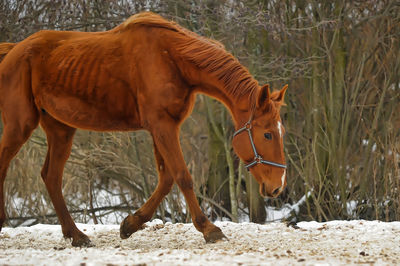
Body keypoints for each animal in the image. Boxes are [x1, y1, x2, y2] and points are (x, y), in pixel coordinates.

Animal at [0, 11, 288, 245]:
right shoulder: (162, 126)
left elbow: (166, 179)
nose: (277, 187)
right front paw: (209, 229)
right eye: (267, 134)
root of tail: (14, 50)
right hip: (19, 126)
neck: (172, 59)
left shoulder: (163, 128)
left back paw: (77, 236)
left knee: (51, 177)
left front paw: (131, 224)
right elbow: (183, 176)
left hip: (60, 130)